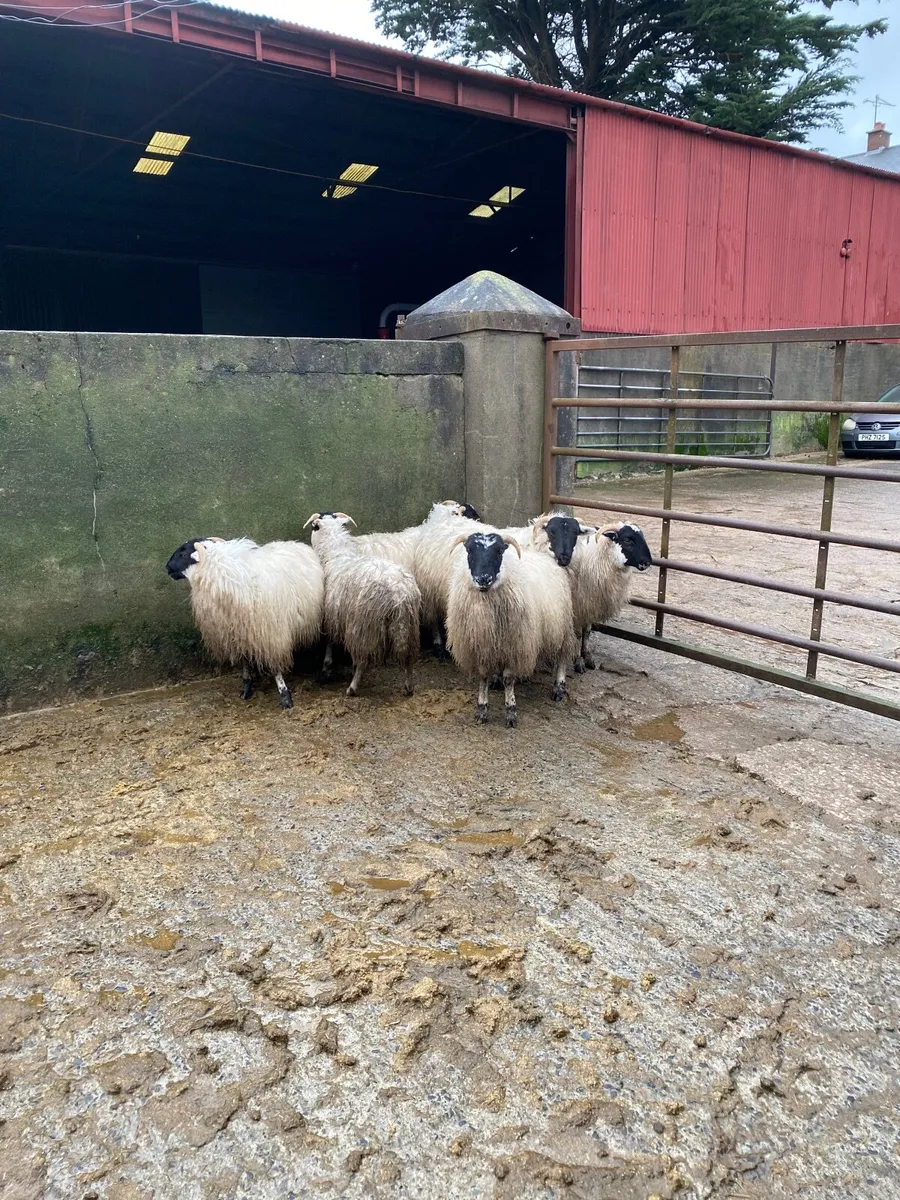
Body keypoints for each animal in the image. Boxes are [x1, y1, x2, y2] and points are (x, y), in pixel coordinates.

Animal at [165, 535, 325, 709]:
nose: (167, 568)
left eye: (182, 554)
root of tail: (298, 544)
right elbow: (245, 663)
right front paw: (246, 688)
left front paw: (285, 696)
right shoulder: (238, 636)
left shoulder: (270, 635)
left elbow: (275, 668)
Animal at [304, 511, 421, 697]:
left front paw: (326, 666)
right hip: (409, 626)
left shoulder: (332, 614)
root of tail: (399, 593)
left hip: (363, 627)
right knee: (409, 658)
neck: (335, 554)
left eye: (314, 527)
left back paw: (352, 687)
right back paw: (408, 687)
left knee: (363, 661)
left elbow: (329, 642)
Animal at [445, 531, 577, 727]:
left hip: (563, 626)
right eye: (469, 550)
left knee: (562, 657)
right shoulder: (482, 646)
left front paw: (511, 712)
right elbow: (483, 676)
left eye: (499, 551)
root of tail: (546, 556)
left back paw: (559, 689)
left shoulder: (515, 645)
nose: (483, 579)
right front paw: (482, 709)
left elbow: (508, 679)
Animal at [567, 521, 653, 672]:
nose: (647, 562)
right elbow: (578, 634)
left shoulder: (591, 605)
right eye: (627, 540)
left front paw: (588, 657)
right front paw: (578, 662)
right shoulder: (578, 605)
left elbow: (587, 632)